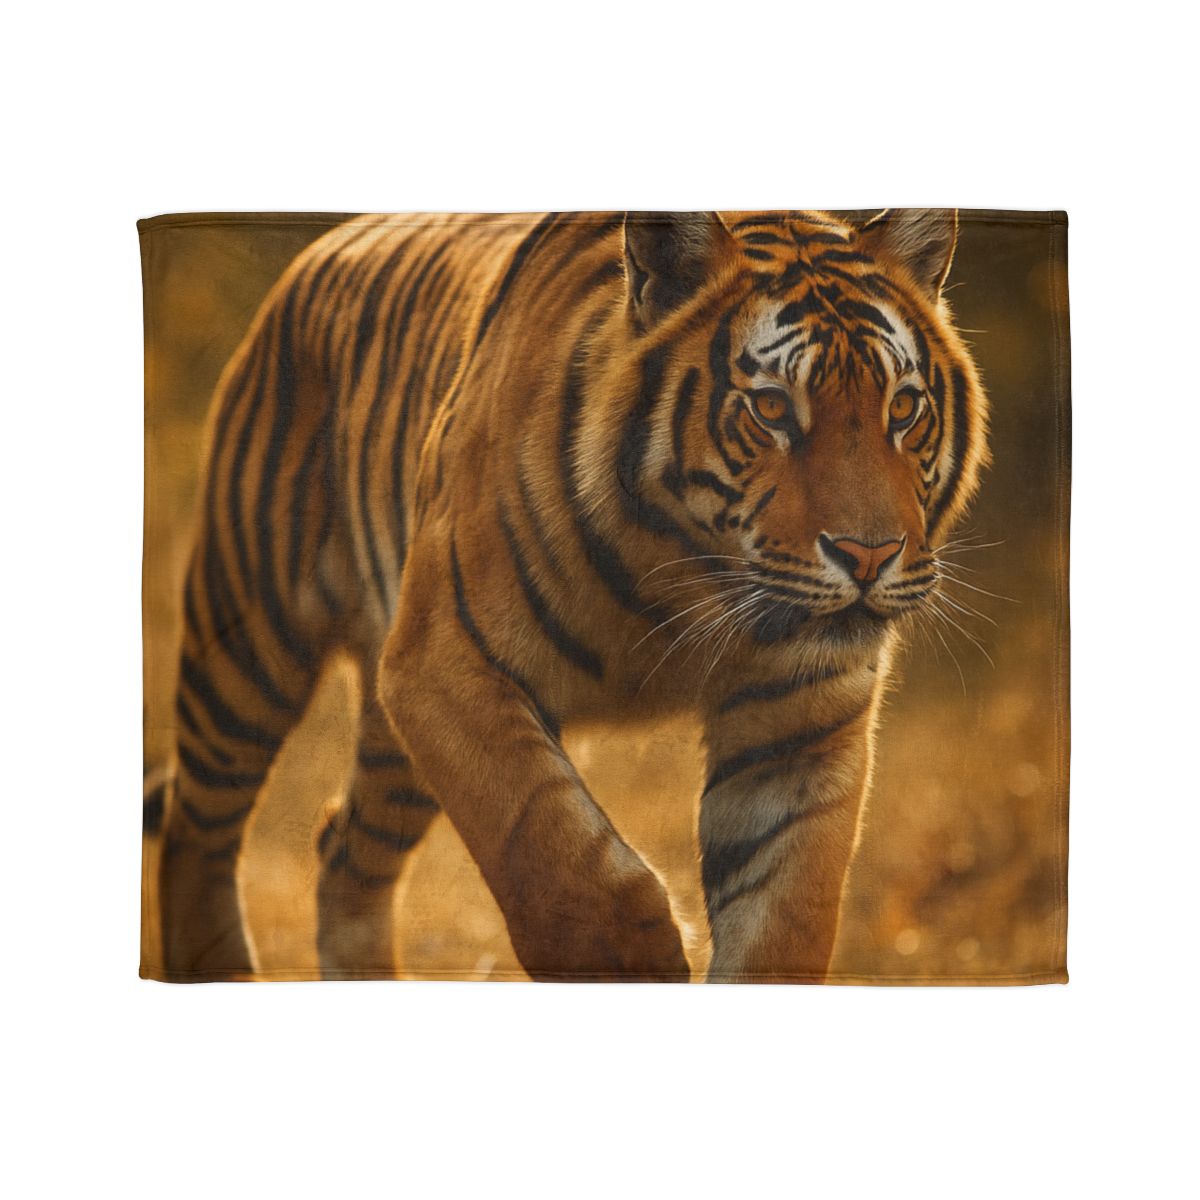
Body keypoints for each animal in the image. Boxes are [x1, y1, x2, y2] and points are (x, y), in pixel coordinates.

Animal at [153, 209, 987, 982]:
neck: (685, 576)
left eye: (902, 408)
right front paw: (639, 964)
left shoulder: (801, 718)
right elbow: (548, 848)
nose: (869, 555)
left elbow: (786, 919)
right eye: (773, 408)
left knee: (344, 851)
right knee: (197, 826)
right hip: (252, 643)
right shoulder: (443, 666)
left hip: (391, 748)